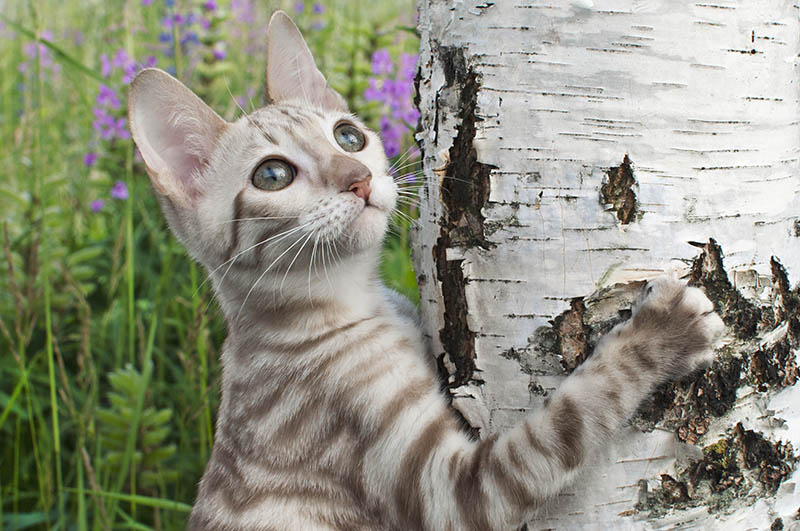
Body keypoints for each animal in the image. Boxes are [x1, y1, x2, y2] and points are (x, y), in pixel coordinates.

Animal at [126, 9, 724, 531]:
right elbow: (570, 418)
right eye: (272, 175)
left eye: (348, 136)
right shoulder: (452, 492)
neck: (356, 300)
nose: (358, 178)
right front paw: (662, 333)